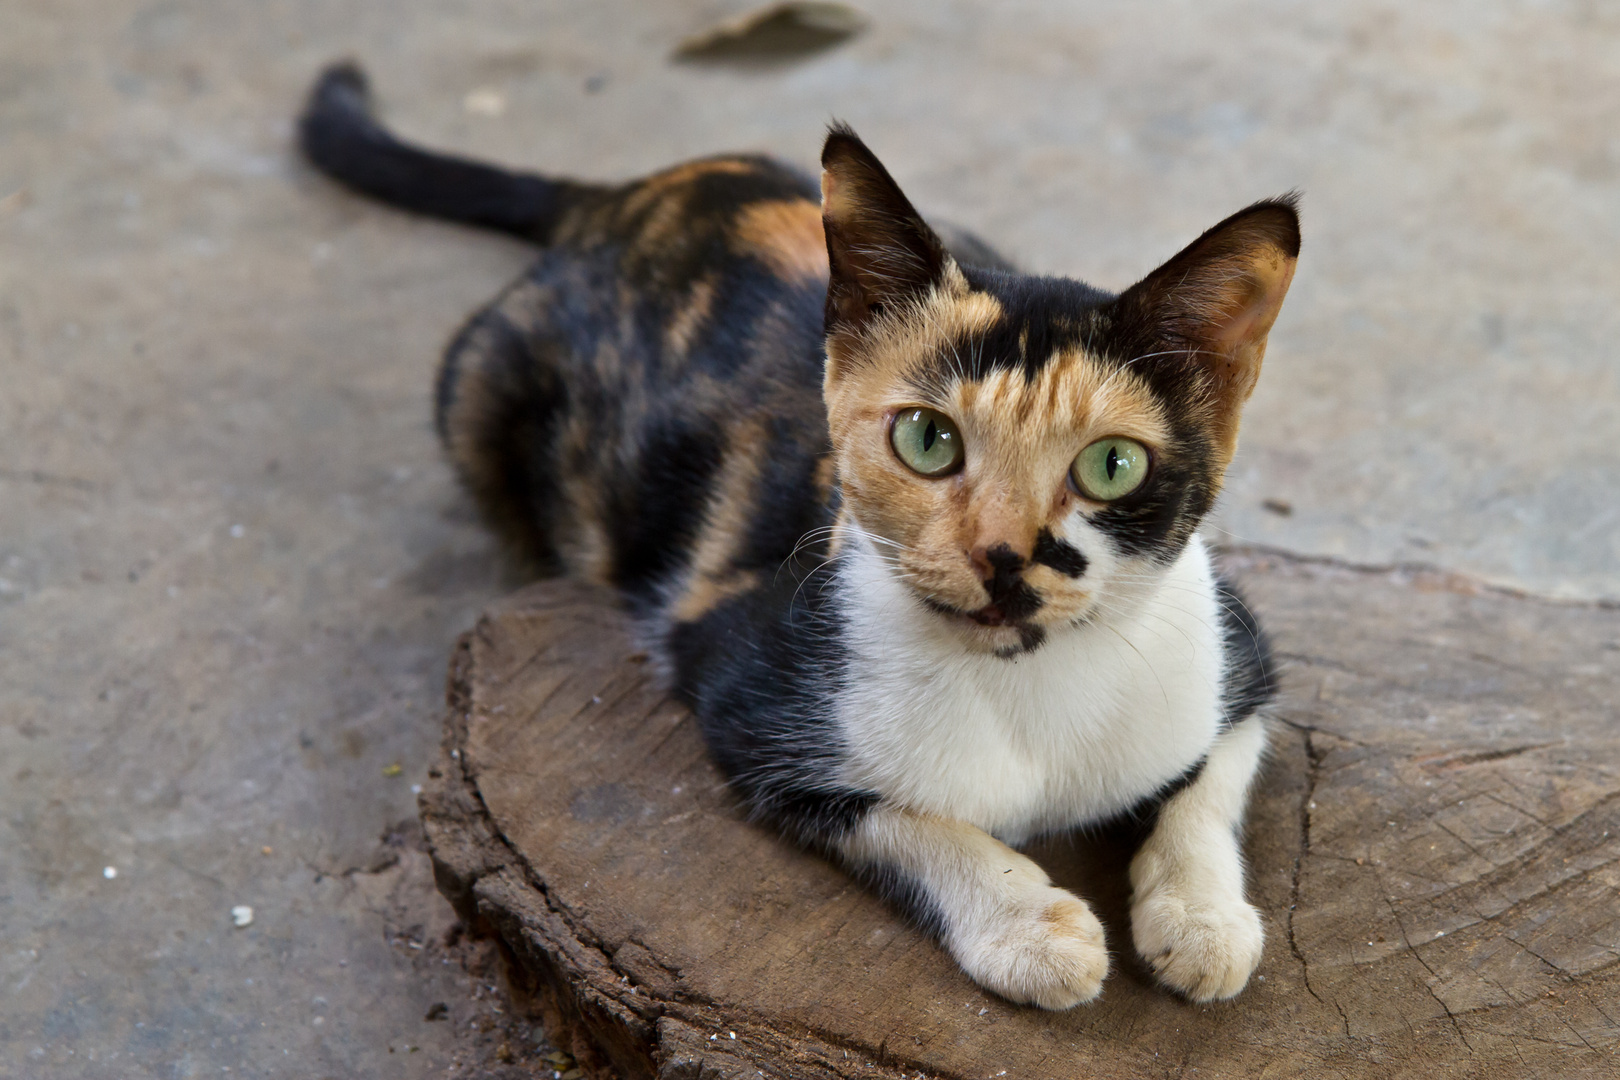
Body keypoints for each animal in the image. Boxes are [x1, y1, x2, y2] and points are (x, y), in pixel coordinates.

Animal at [298, 63, 1296, 1010]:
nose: (1003, 554)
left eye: (1112, 466)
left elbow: (1211, 780)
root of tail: (634, 193)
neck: (1029, 687)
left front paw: (1201, 919)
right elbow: (909, 820)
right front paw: (1028, 928)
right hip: (477, 384)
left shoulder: (1231, 640)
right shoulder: (745, 692)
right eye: (928, 439)